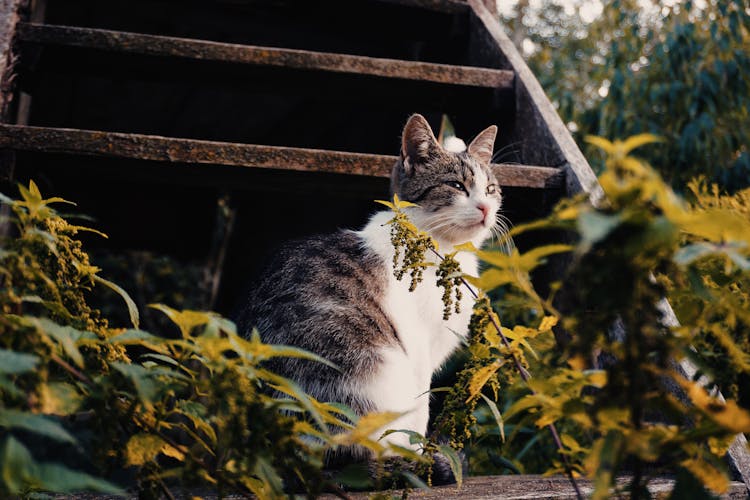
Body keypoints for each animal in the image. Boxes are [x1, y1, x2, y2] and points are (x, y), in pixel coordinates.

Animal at [238, 114, 502, 476]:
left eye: (491, 189)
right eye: (457, 186)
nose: (486, 208)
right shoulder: (418, 346)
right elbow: (420, 410)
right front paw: (420, 454)